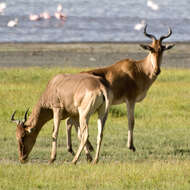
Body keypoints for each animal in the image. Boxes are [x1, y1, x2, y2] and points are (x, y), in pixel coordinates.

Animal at [65, 24, 175, 154]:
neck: (139, 69)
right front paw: (131, 146)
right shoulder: (130, 100)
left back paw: (73, 148)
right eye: (151, 49)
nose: (157, 71)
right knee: (73, 122)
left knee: (70, 121)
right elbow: (131, 121)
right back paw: (85, 147)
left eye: (162, 49)